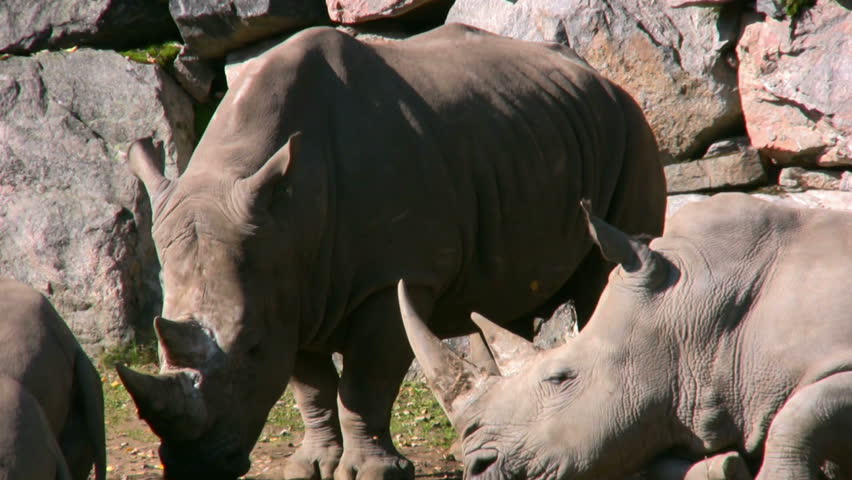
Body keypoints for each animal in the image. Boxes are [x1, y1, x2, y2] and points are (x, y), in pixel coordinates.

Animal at [116, 23, 666, 480]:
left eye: (250, 346)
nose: (191, 467)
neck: (288, 212)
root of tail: (600, 76)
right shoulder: (289, 282)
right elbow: (311, 386)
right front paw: (310, 467)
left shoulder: (393, 278)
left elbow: (364, 383)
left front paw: (371, 473)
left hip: (633, 129)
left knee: (605, 273)